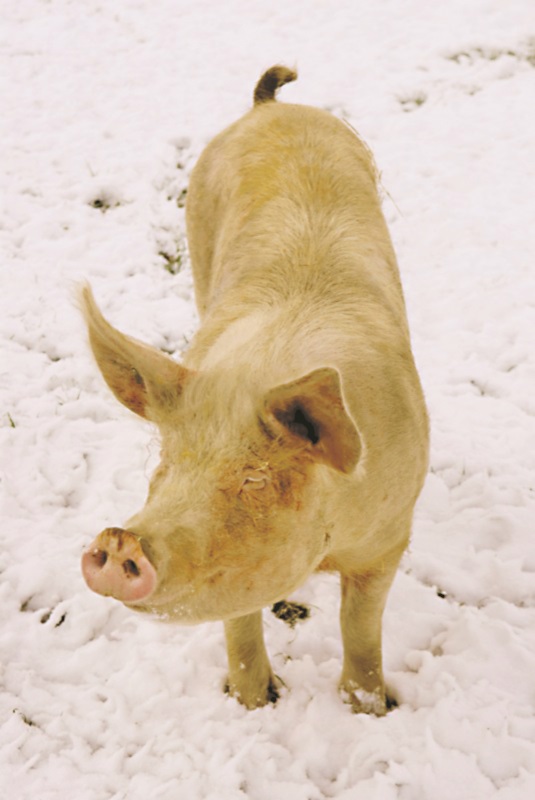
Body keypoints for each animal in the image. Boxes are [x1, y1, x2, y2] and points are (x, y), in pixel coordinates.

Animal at [80, 64, 432, 712]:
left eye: (254, 481)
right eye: (165, 467)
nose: (120, 540)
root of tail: (269, 108)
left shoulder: (391, 536)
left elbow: (360, 626)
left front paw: (367, 708)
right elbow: (239, 623)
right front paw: (254, 703)